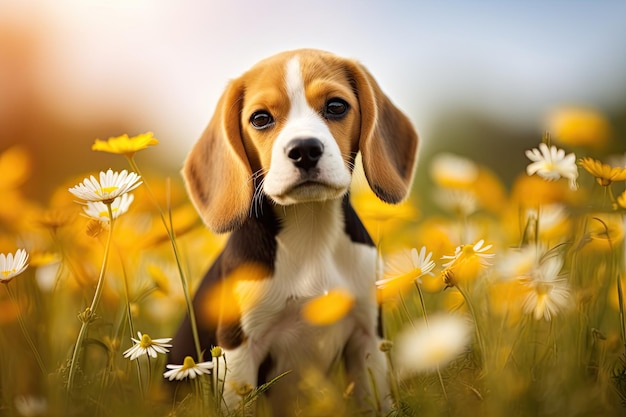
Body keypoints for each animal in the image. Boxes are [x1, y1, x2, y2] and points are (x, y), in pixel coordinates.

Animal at [168, 48, 416, 412]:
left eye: (336, 106)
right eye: (260, 119)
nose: (304, 150)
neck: (309, 231)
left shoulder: (367, 338)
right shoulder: (239, 351)